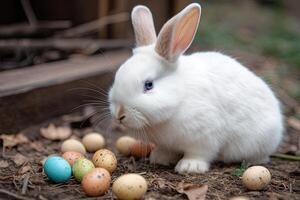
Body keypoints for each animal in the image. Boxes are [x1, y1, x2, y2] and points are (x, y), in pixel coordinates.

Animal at [108, 3, 284, 173]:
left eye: (149, 85)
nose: (119, 115)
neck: (179, 99)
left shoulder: (205, 135)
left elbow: (199, 153)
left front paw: (189, 166)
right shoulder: (167, 143)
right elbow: (166, 150)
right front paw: (160, 158)